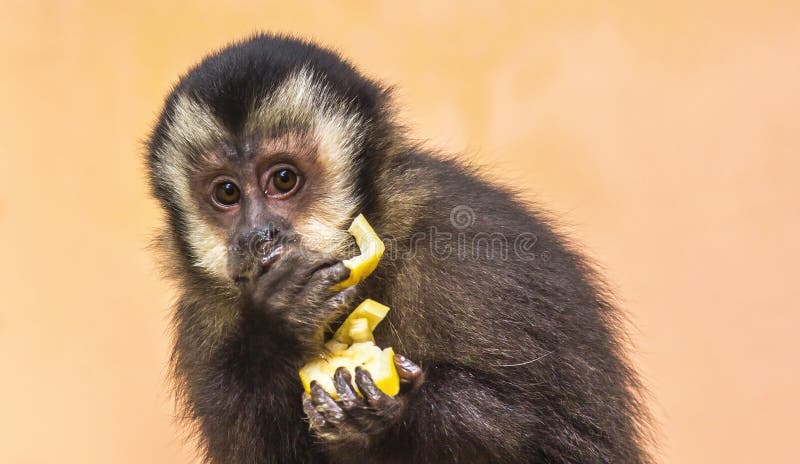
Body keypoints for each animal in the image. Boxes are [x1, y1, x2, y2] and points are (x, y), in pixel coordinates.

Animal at [148, 33, 648, 464]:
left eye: (284, 179)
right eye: (226, 193)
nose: (257, 236)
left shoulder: (474, 259)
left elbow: (535, 427)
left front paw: (386, 419)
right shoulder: (202, 324)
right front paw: (277, 327)